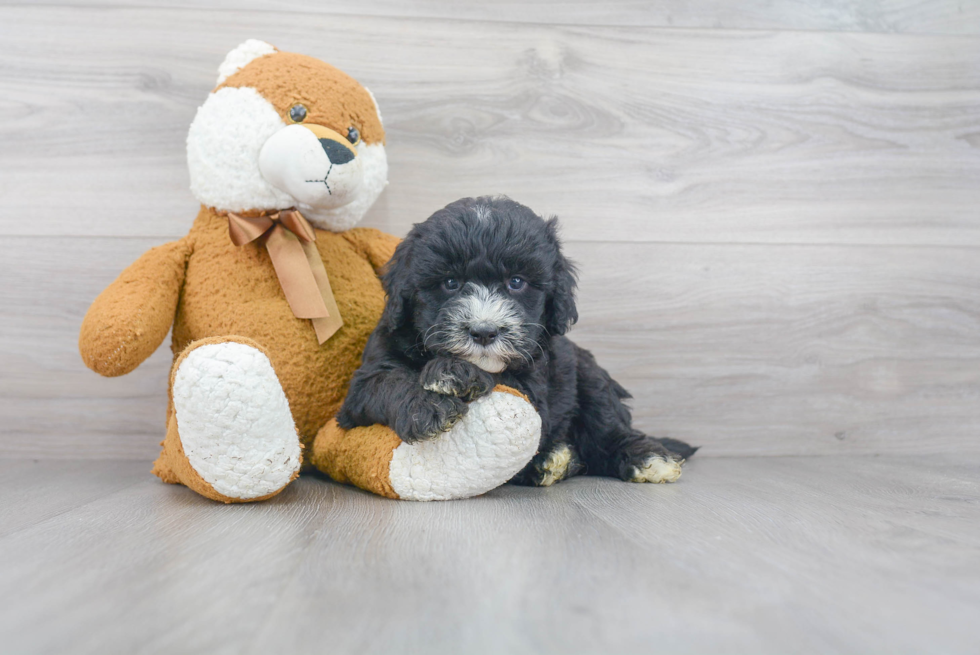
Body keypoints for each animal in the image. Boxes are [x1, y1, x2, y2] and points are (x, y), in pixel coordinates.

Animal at [336, 195, 696, 486]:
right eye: (450, 283)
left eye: (517, 282)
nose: (483, 331)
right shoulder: (365, 381)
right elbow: (387, 383)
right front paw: (428, 405)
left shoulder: (536, 379)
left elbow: (509, 384)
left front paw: (452, 372)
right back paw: (555, 461)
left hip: (589, 374)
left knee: (606, 428)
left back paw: (645, 458)